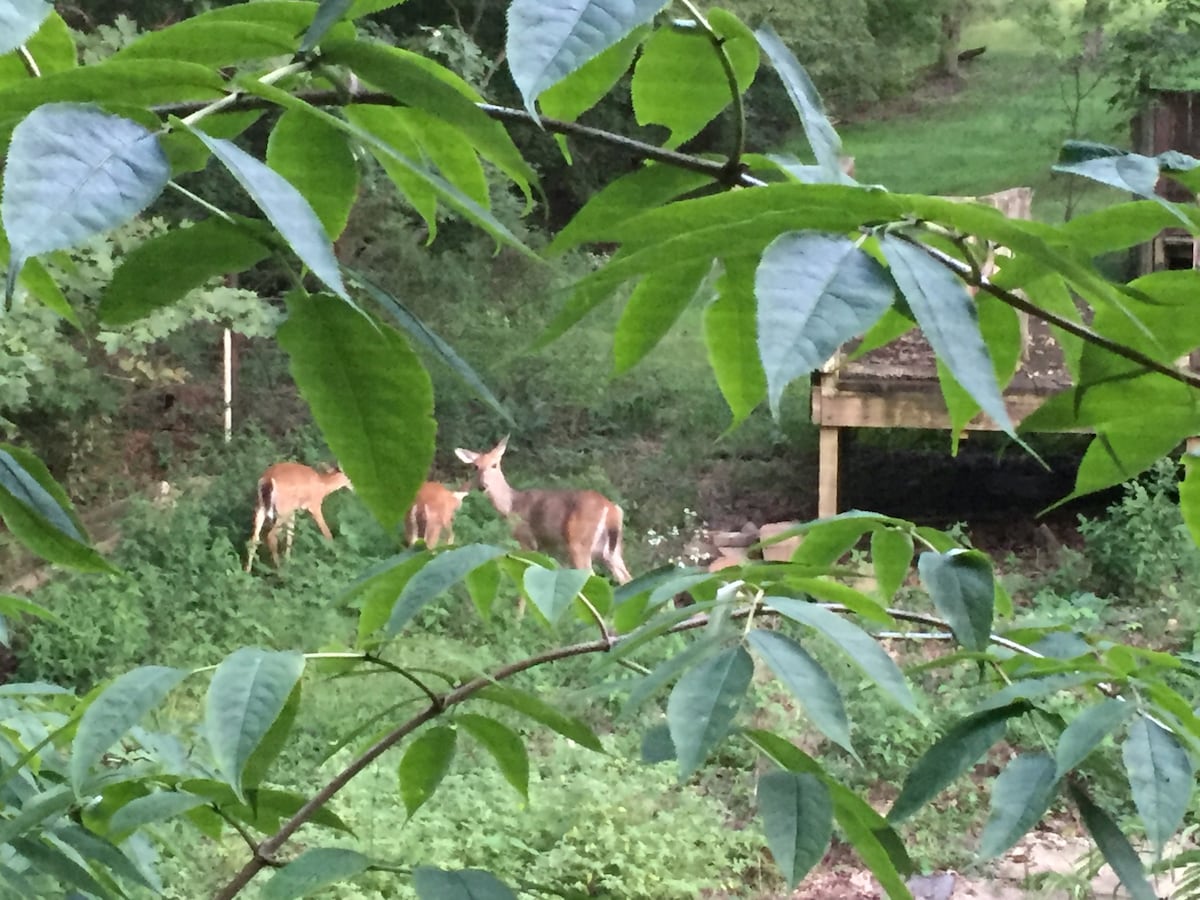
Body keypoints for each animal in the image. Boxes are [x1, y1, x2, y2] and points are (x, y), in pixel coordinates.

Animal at [453, 434, 633, 585]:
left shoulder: (526, 540)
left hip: (579, 543)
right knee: (627, 579)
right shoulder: (546, 548)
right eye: (475, 466)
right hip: (612, 551)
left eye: (494, 464)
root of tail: (611, 509)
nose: (483, 486)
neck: (511, 505)